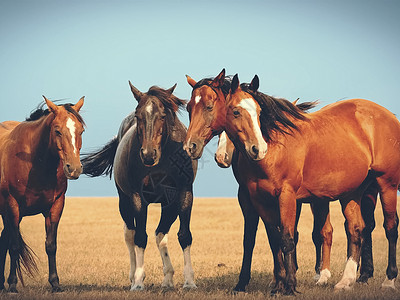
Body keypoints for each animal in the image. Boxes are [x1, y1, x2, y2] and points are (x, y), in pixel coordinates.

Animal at [0, 97, 85, 292]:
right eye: (57, 131)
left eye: (81, 130)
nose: (74, 168)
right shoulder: (13, 206)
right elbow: (14, 246)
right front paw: (13, 284)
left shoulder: (55, 207)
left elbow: (51, 245)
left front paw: (55, 283)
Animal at [82, 82, 198, 290]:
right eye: (138, 115)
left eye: (163, 115)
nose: (148, 154)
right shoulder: (138, 198)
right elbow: (140, 238)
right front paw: (138, 281)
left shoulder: (184, 194)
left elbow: (184, 235)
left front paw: (189, 281)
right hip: (124, 202)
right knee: (130, 234)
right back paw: (133, 275)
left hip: (168, 205)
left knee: (161, 234)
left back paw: (168, 278)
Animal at [223, 74, 400, 294]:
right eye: (236, 111)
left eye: (259, 112)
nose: (258, 149)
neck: (276, 146)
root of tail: (390, 116)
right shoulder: (260, 200)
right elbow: (274, 238)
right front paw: (278, 284)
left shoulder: (287, 197)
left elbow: (288, 238)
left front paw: (290, 286)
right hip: (352, 193)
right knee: (356, 229)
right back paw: (346, 281)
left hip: (386, 186)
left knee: (390, 227)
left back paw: (389, 280)